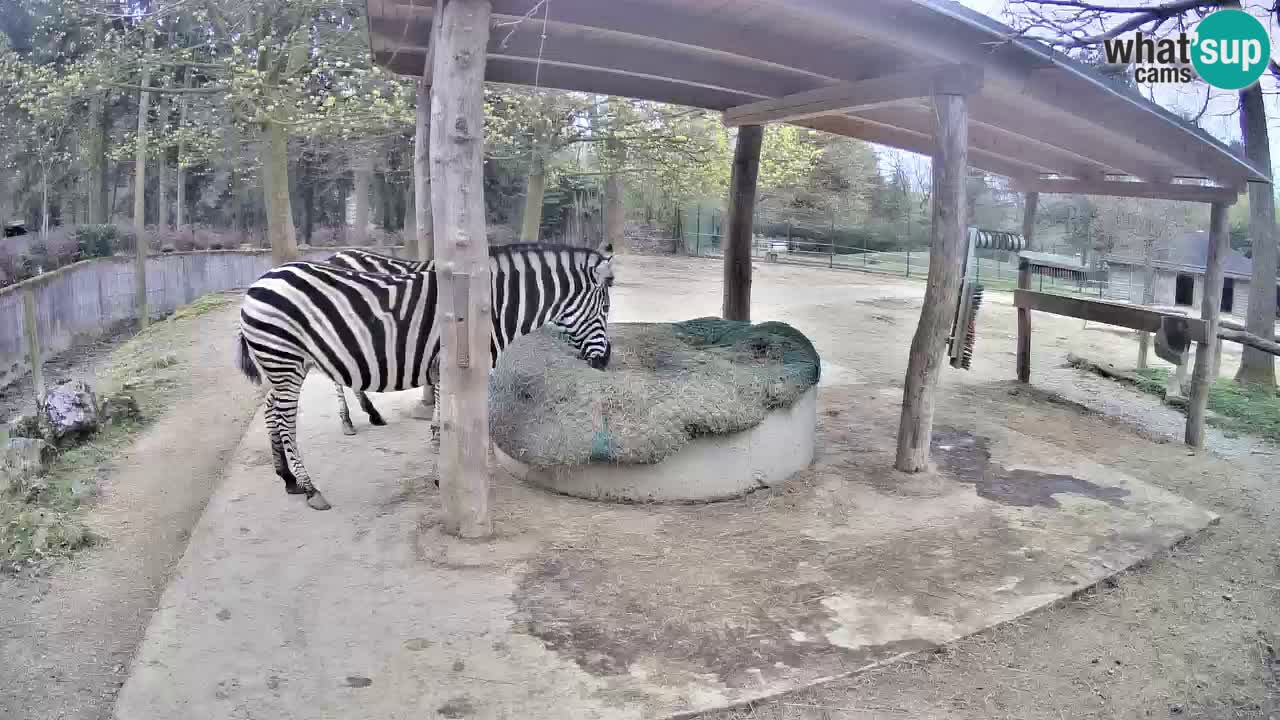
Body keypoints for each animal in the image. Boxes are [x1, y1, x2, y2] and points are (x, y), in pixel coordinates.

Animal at [234, 242, 615, 510]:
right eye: (606, 307)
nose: (606, 360)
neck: (490, 308)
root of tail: (259, 280)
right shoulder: (455, 369)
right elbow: (457, 420)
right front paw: (450, 472)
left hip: (285, 362)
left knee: (271, 411)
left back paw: (287, 478)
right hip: (284, 357)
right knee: (285, 420)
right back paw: (311, 486)